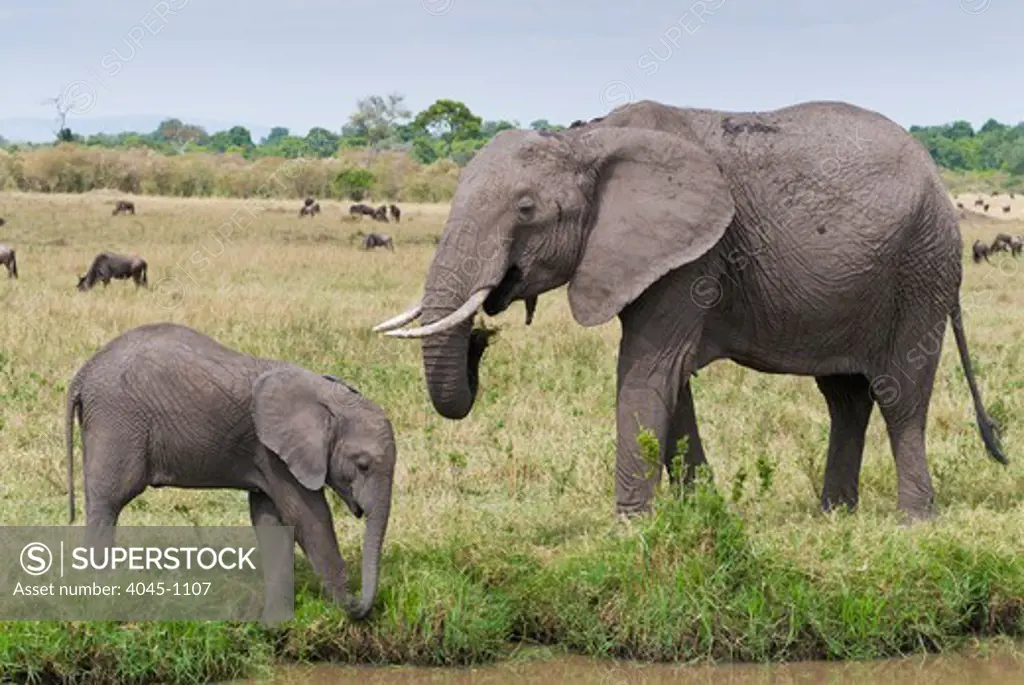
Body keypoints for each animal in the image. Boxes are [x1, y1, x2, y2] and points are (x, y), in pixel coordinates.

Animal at [66, 321, 395, 618]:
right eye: (363, 465)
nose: (359, 605)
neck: (326, 396)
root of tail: (83, 373)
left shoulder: (267, 456)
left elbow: (269, 519)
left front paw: (275, 622)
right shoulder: (272, 451)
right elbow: (309, 517)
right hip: (117, 420)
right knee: (109, 501)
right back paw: (102, 592)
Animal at [372, 98, 1003, 520]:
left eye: (526, 209)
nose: (481, 339)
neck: (589, 139)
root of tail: (936, 176)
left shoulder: (696, 255)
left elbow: (647, 371)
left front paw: (629, 526)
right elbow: (670, 385)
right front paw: (701, 514)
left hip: (921, 266)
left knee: (898, 394)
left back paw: (913, 520)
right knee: (845, 397)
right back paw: (833, 516)